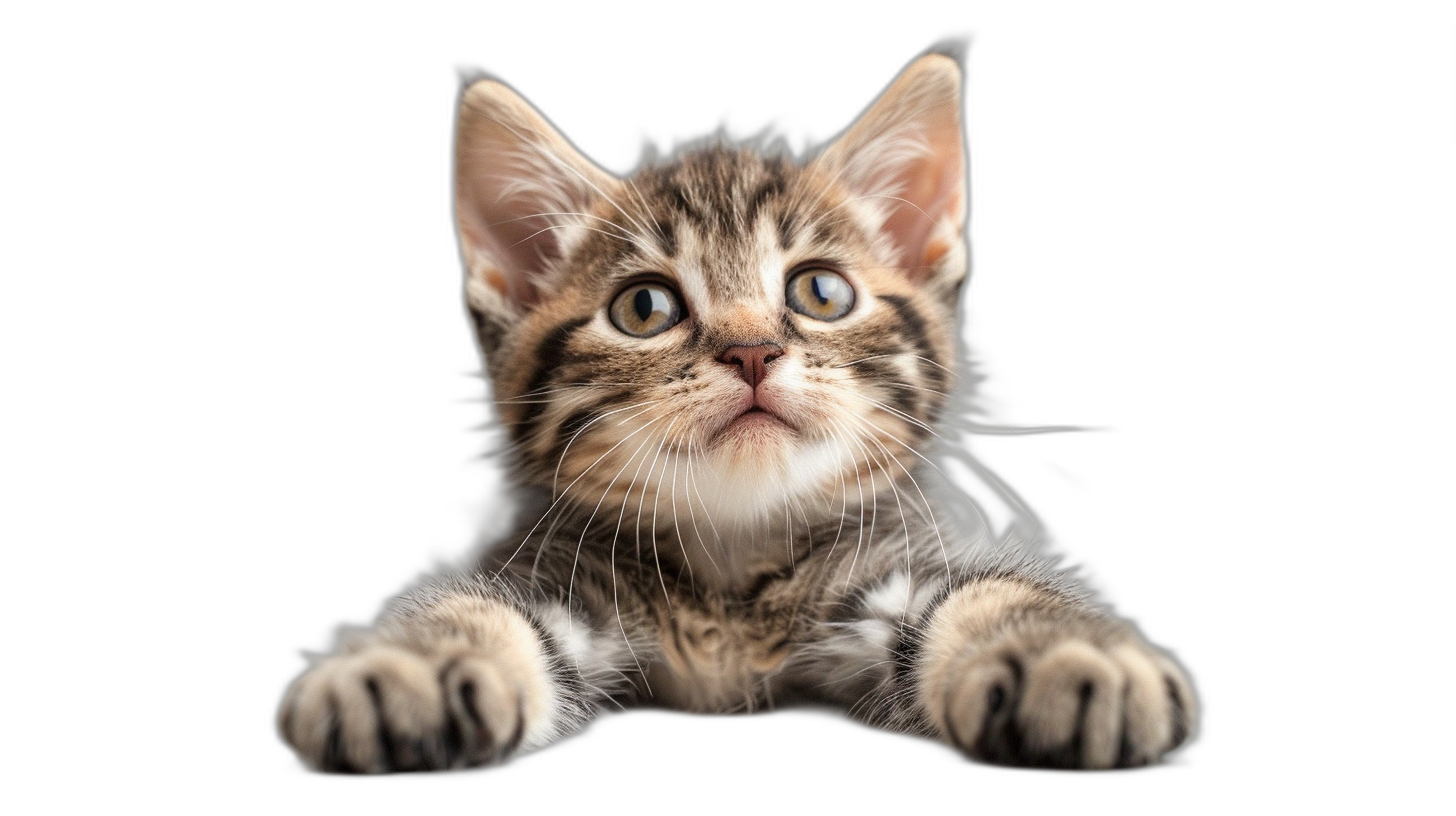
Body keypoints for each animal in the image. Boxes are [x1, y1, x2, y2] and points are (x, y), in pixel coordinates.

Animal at [275, 47, 1193, 775]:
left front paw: (1072, 655)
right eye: (644, 308)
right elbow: (468, 605)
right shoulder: (542, 561)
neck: (729, 574)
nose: (751, 352)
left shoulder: (899, 550)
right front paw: (405, 669)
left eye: (821, 293)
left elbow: (998, 589)